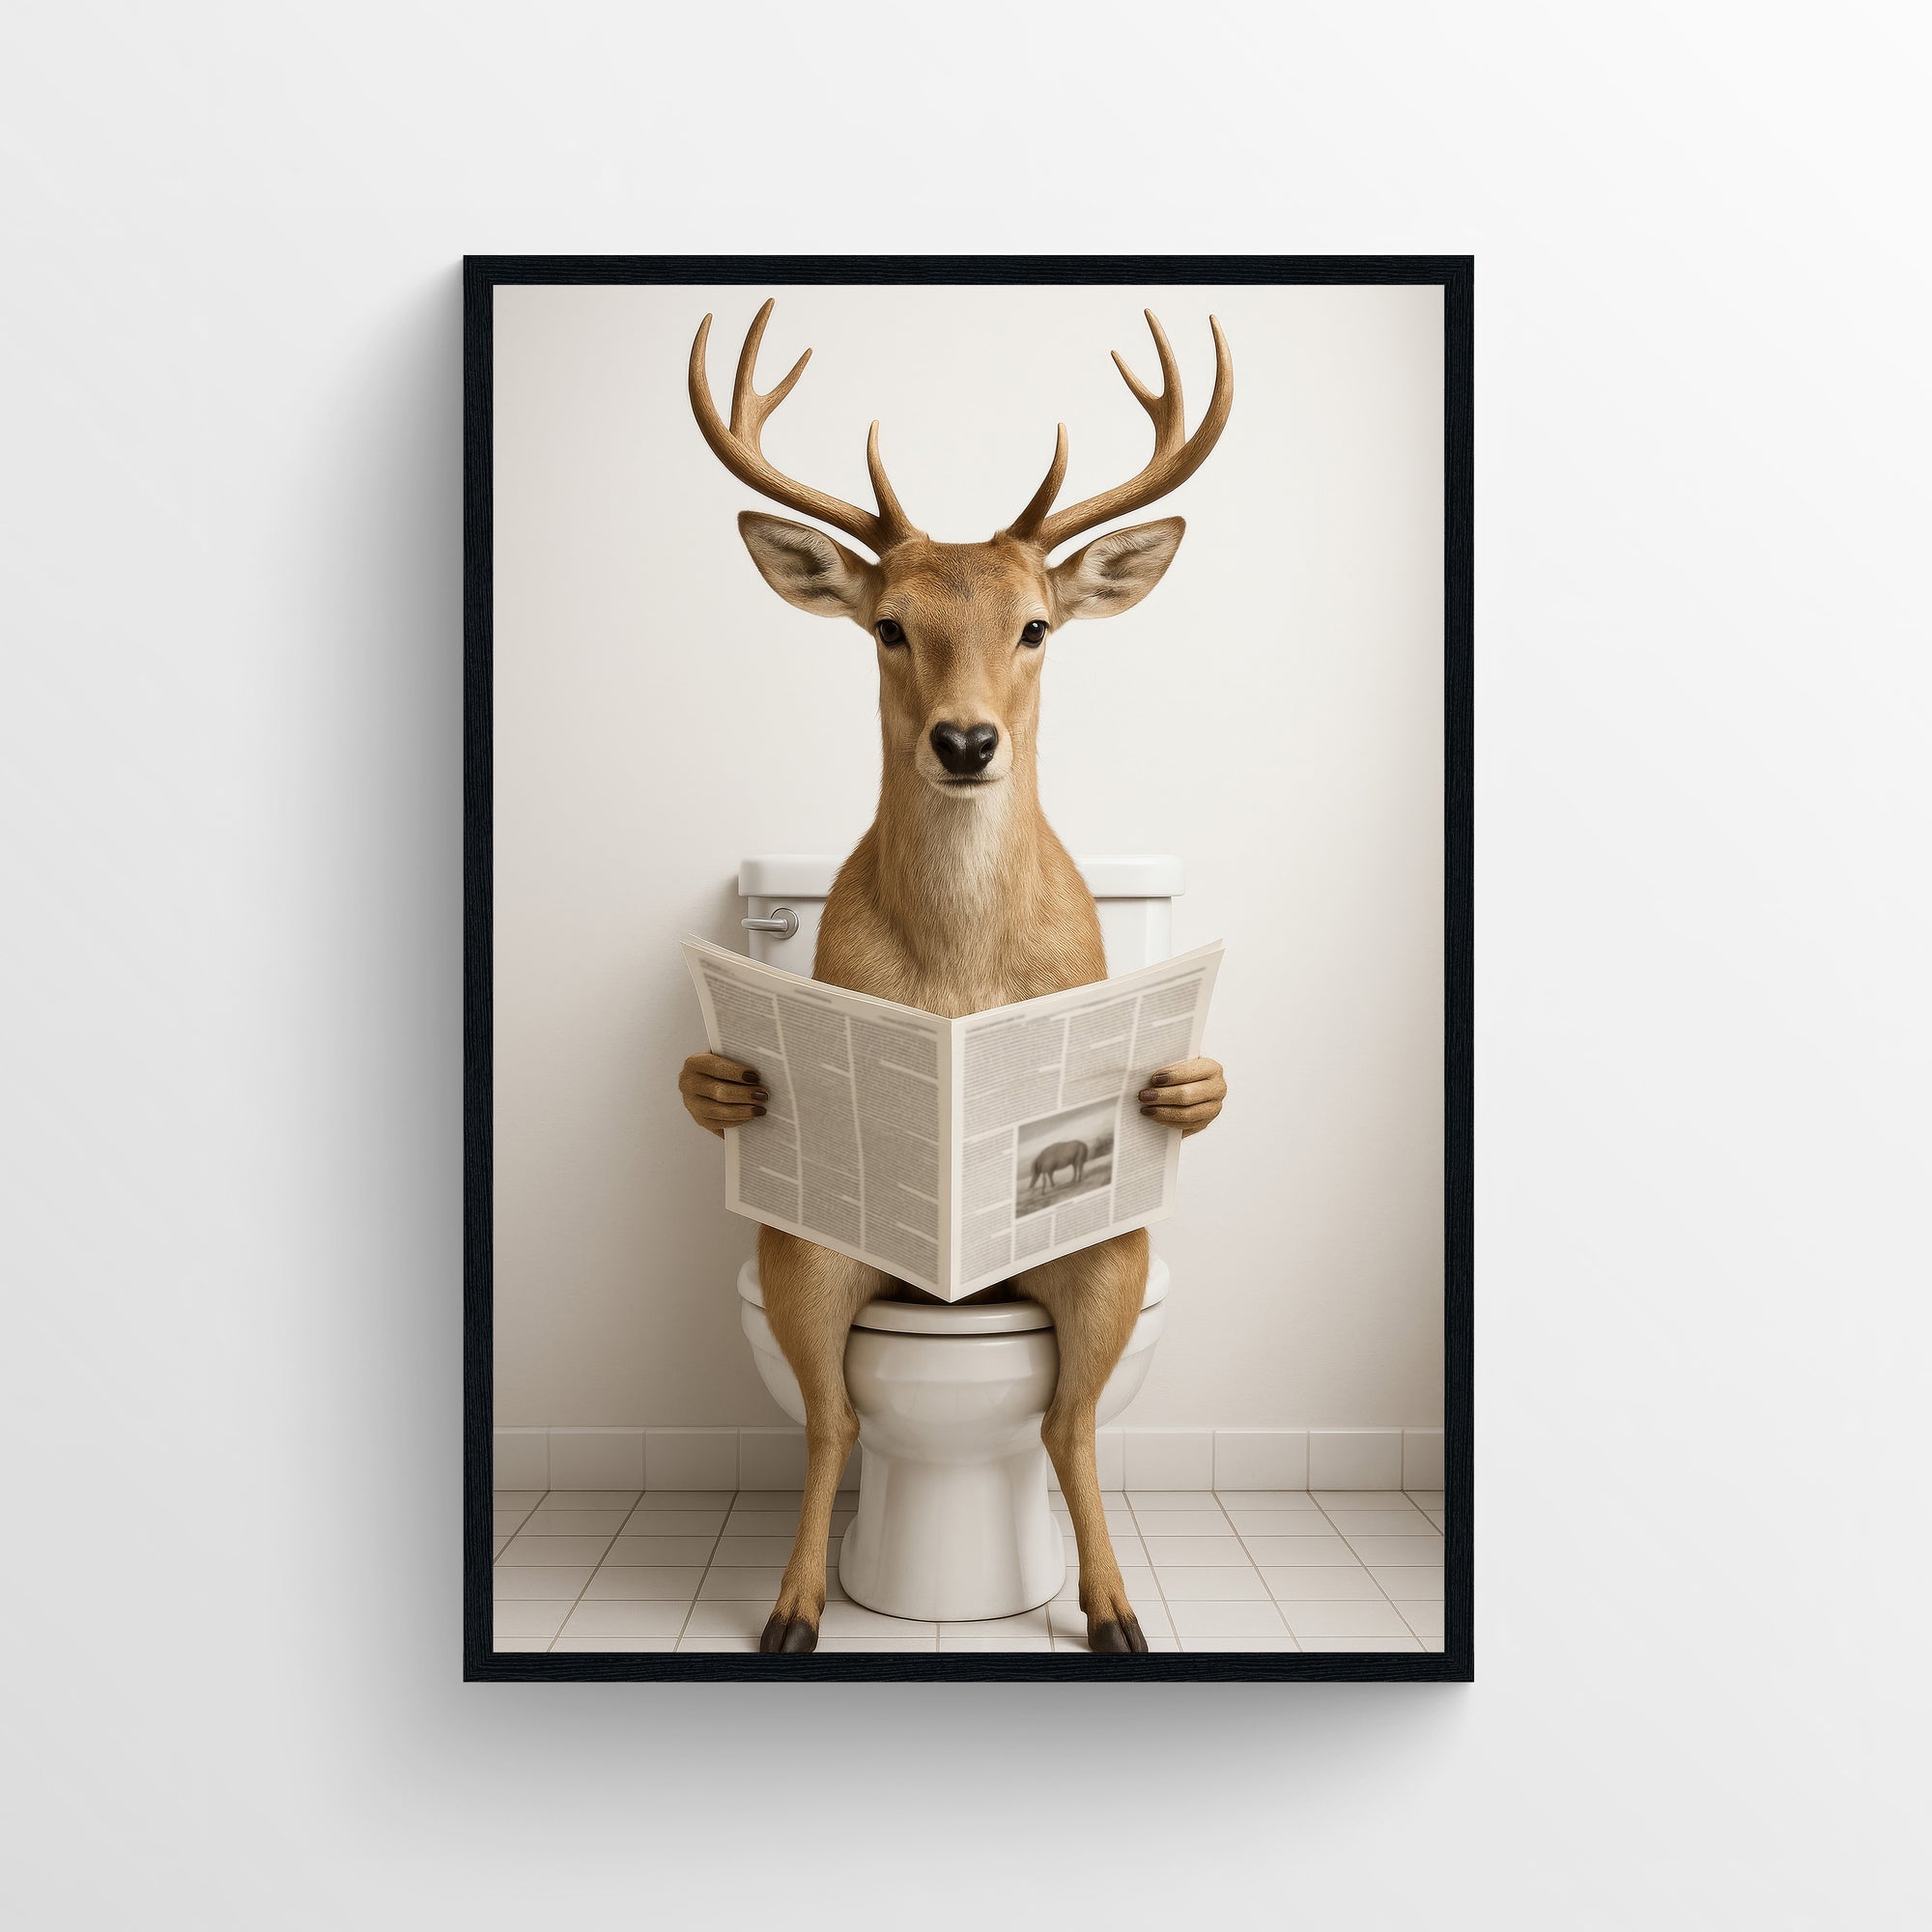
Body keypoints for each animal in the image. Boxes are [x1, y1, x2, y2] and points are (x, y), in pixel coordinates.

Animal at [676, 299, 1231, 1653]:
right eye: (888, 625)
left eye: (1034, 625)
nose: (968, 739)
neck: (959, 974)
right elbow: (831, 1416)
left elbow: (1068, 1421)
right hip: (811, 1251)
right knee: (837, 1416)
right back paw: (793, 1610)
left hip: (1101, 1250)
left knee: (1065, 1420)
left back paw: (1113, 1609)